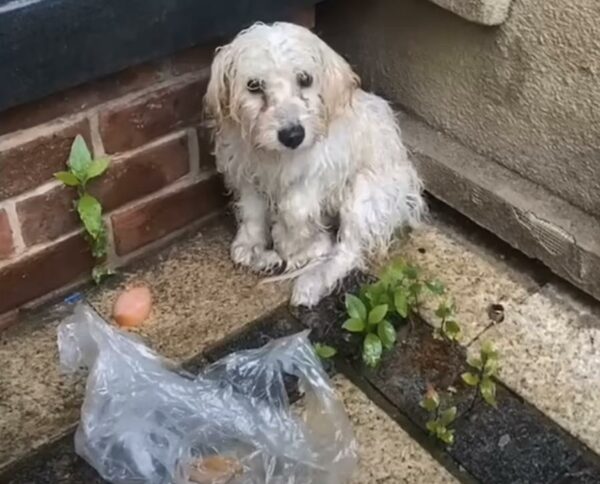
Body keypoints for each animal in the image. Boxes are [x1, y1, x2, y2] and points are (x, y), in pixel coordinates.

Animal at [204, 21, 424, 306]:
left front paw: (294, 247)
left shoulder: (320, 172)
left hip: (364, 194)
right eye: (254, 85)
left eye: (305, 79)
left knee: (347, 252)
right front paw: (252, 247)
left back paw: (312, 278)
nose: (292, 135)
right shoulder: (246, 172)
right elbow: (252, 214)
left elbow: (294, 210)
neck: (276, 157)